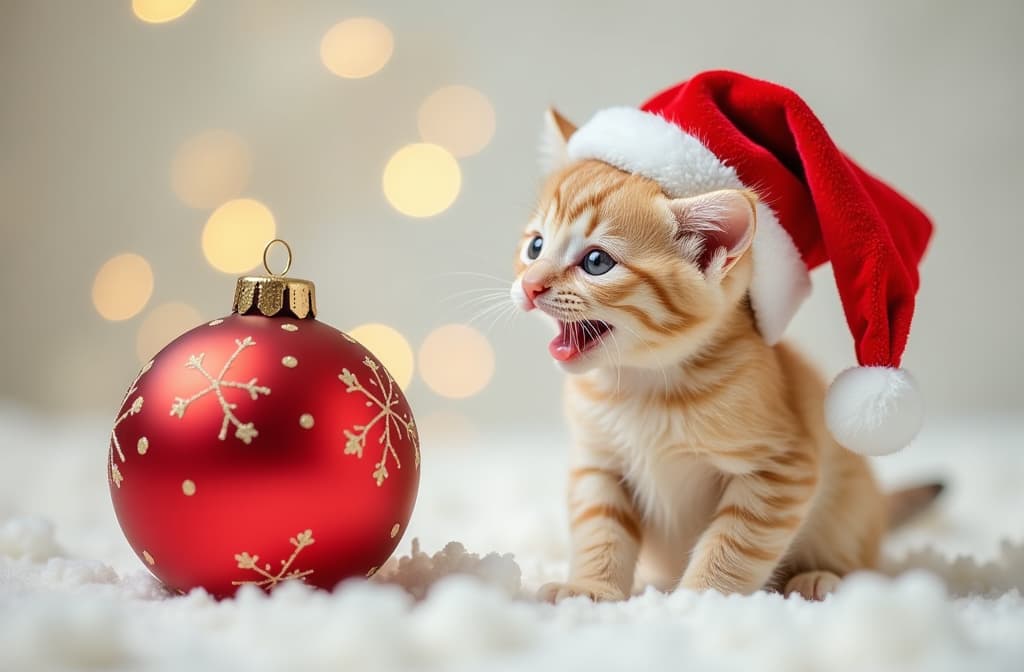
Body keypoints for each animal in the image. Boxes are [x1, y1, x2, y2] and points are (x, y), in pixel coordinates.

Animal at [509, 110, 937, 602]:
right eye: (535, 247)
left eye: (597, 262)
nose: (530, 286)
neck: (642, 386)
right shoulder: (598, 465)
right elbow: (600, 531)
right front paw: (591, 587)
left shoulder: (780, 470)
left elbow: (732, 543)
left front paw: (700, 599)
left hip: (851, 507)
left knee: (864, 562)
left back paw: (822, 577)